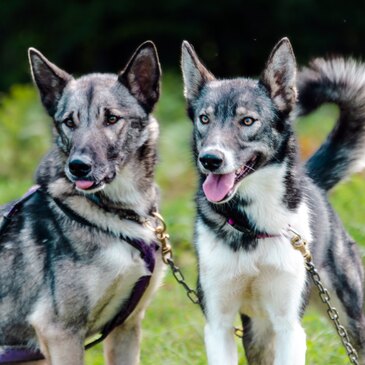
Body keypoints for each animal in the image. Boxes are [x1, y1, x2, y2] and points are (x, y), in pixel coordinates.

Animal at [0, 41, 164, 362]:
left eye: (111, 118)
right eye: (69, 122)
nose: (77, 167)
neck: (117, 213)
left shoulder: (126, 327)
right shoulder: (60, 332)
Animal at [181, 37, 364, 364]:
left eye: (247, 121)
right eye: (204, 118)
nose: (210, 160)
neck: (252, 225)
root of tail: (313, 181)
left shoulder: (288, 326)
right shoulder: (218, 325)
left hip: (350, 315)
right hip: (258, 333)